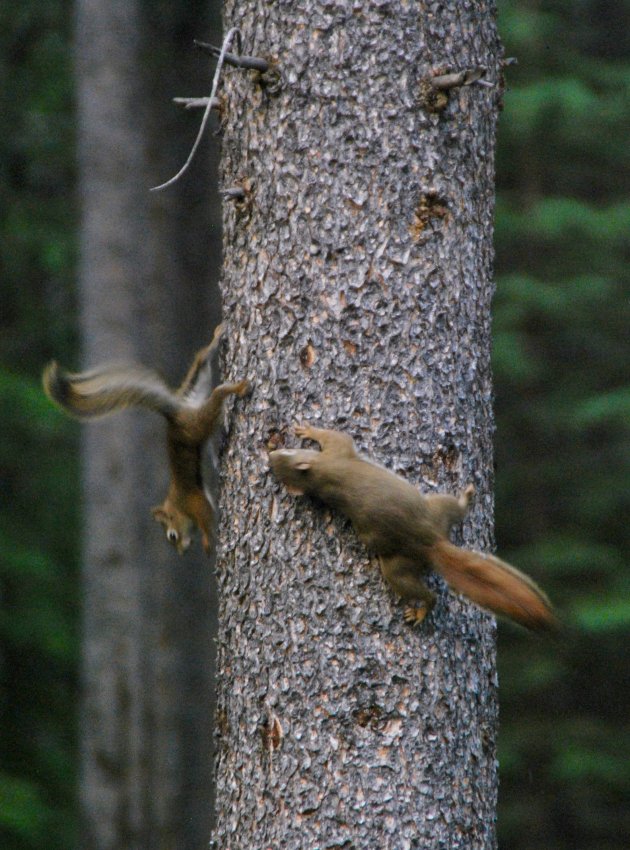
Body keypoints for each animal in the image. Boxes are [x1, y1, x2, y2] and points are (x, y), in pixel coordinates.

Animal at [41, 322, 249, 552]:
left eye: (172, 536)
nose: (183, 551)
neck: (175, 505)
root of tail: (175, 416)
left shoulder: (192, 501)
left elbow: (204, 516)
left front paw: (206, 541)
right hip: (194, 394)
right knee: (201, 362)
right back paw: (217, 339)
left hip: (197, 423)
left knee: (216, 394)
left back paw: (237, 387)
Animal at [270, 422, 556, 628]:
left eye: (286, 453)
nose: (270, 454)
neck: (318, 476)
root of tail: (433, 542)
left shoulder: (337, 451)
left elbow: (336, 435)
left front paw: (307, 429)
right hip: (422, 531)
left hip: (422, 527)